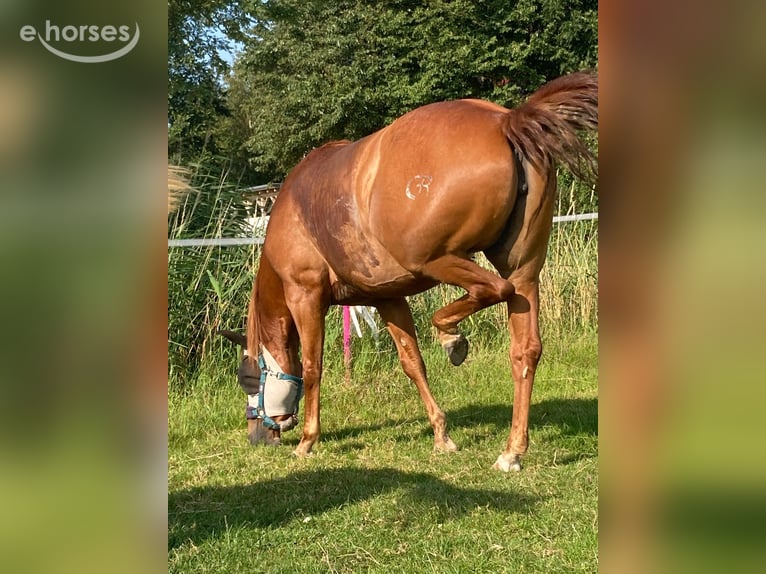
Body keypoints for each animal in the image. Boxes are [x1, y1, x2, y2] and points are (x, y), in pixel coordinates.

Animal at [229, 71, 597, 471]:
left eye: (248, 380)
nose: (256, 438)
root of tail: (506, 121)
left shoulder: (305, 295)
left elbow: (312, 366)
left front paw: (308, 441)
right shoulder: (388, 298)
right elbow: (412, 363)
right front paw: (441, 435)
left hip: (439, 259)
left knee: (493, 290)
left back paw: (452, 338)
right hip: (523, 271)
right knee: (525, 349)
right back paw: (511, 451)